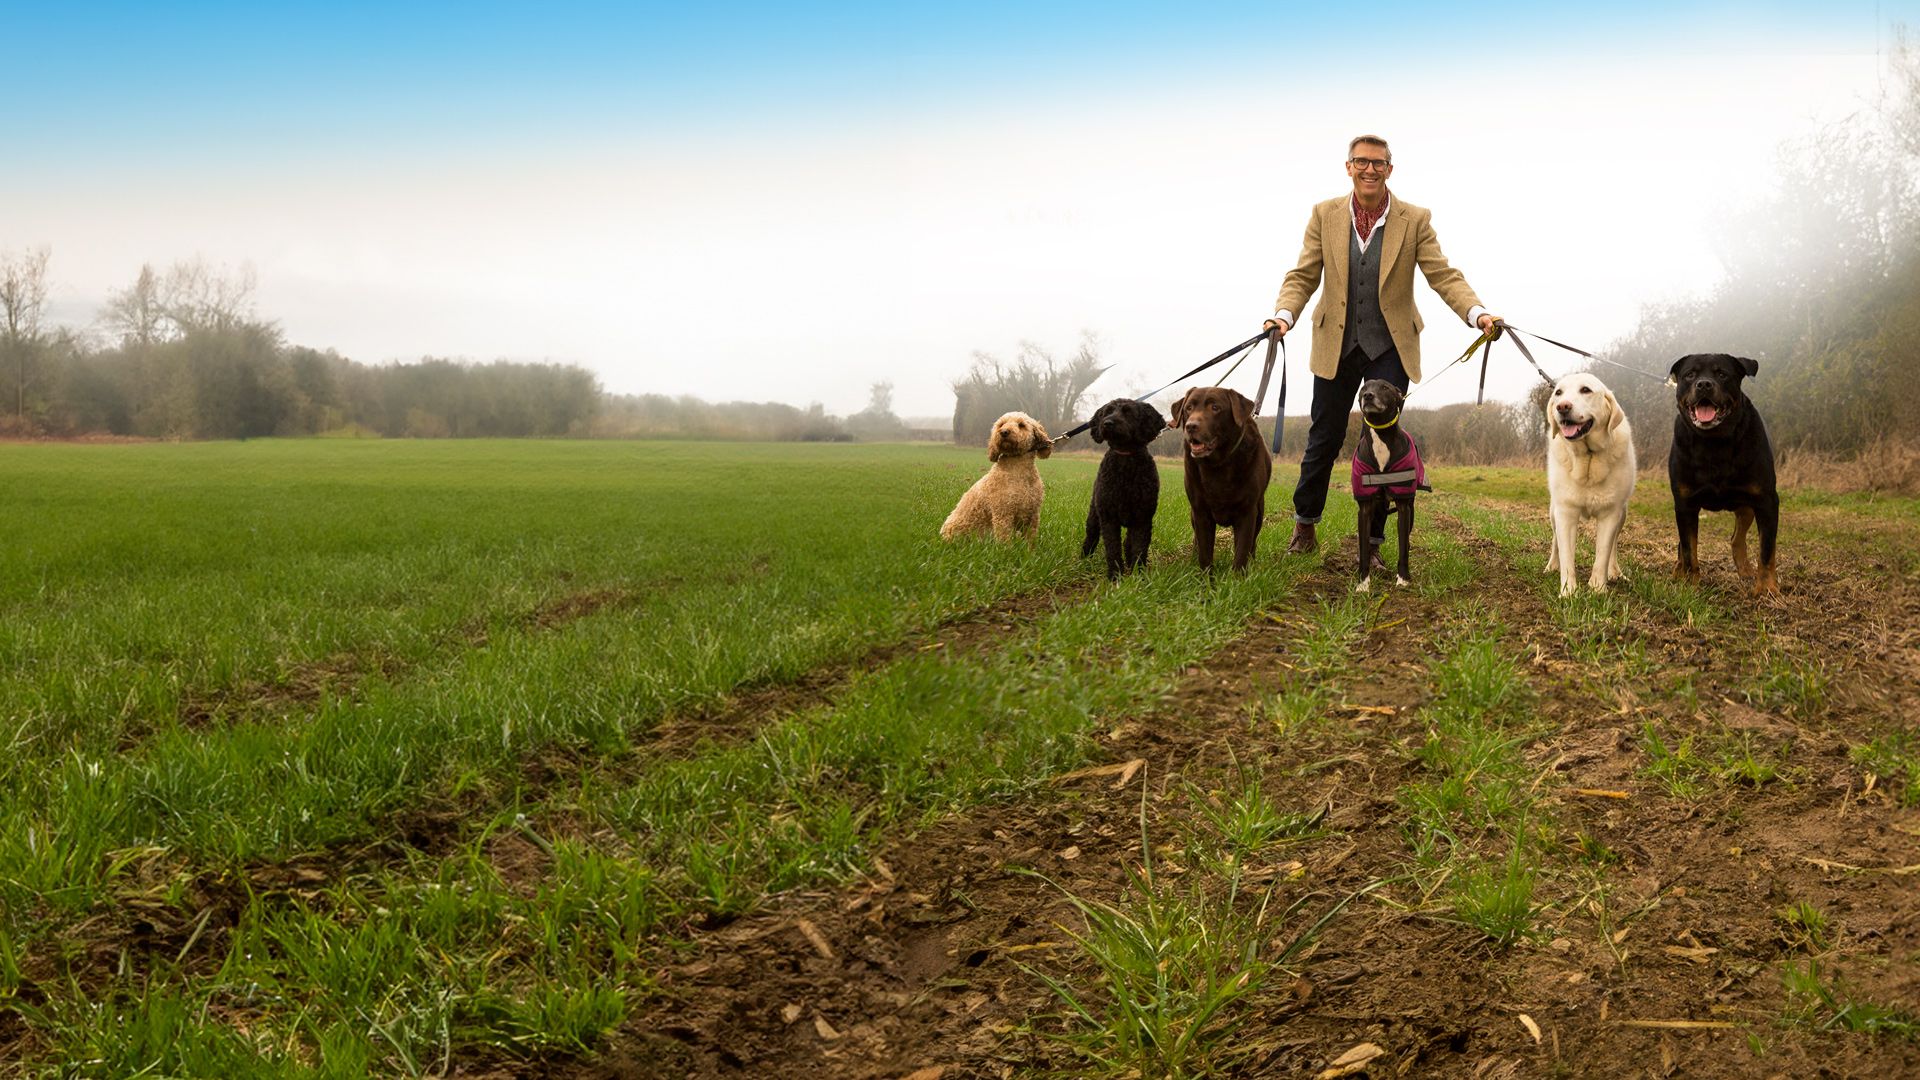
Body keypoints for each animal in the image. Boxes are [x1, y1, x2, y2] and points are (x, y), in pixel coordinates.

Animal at [1082, 395, 1167, 576]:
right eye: (1107, 412)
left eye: (1128, 412)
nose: (1107, 423)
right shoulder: (1108, 517)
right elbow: (1112, 548)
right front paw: (1115, 575)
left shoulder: (1142, 517)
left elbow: (1139, 548)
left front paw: (1138, 574)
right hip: (1094, 516)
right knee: (1091, 537)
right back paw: (1083, 559)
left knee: (1129, 542)